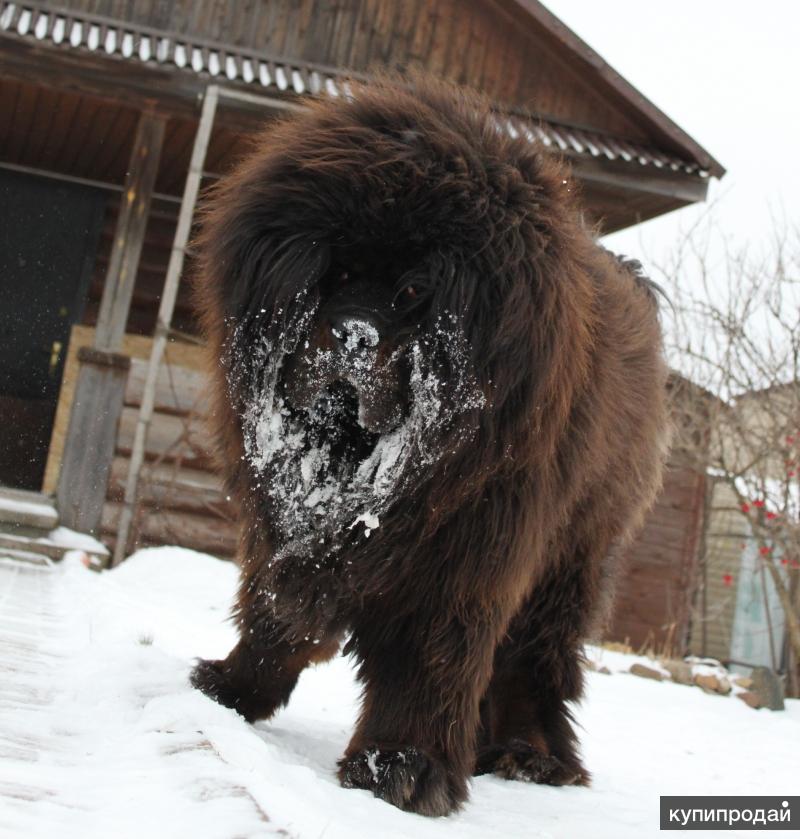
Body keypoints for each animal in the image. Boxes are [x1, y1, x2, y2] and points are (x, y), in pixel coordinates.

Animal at [189, 75, 668, 816]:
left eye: (416, 290)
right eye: (335, 272)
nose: (352, 335)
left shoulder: (463, 544)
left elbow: (430, 655)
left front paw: (399, 767)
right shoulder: (285, 516)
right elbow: (274, 608)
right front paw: (234, 689)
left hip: (571, 555)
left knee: (533, 658)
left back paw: (530, 753)